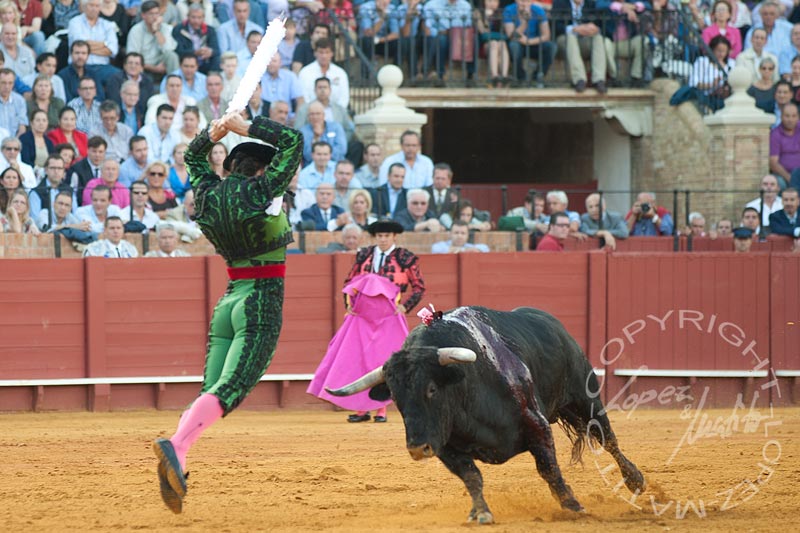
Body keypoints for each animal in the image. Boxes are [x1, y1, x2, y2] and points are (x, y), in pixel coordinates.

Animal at [328, 306, 648, 520]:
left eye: (431, 389)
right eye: (395, 397)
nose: (418, 449)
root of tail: (553, 324)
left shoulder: (536, 424)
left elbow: (549, 469)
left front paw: (573, 505)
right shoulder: (445, 445)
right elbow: (472, 476)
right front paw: (480, 513)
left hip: (585, 396)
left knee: (608, 438)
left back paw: (635, 480)